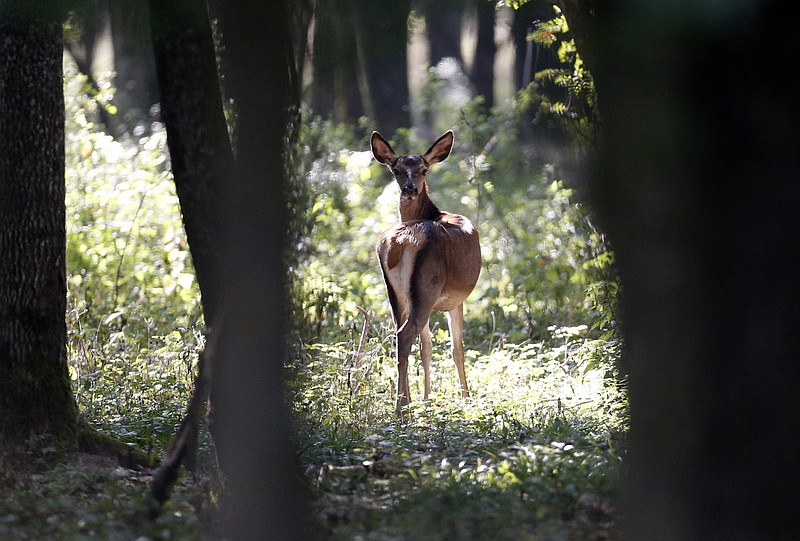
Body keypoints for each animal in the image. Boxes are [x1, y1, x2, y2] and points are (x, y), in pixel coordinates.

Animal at [370, 131, 482, 414]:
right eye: (397, 170)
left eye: (422, 170)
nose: (410, 189)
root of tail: (399, 243)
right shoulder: (455, 299)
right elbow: (456, 348)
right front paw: (466, 398)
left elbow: (427, 348)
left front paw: (427, 399)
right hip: (427, 286)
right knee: (406, 333)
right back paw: (401, 407)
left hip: (398, 293)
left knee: (399, 334)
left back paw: (405, 403)